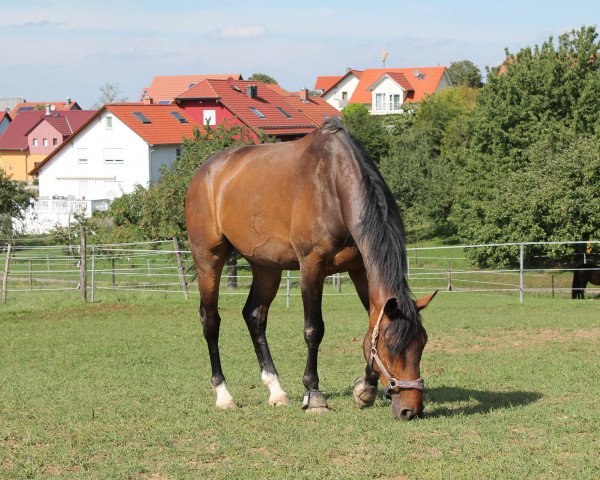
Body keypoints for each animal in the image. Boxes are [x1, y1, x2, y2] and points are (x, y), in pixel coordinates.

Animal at [185, 117, 434, 420]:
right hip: (208, 259)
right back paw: (224, 394)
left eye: (422, 344)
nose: (411, 410)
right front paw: (314, 394)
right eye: (389, 347)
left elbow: (371, 319)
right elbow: (314, 329)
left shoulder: (360, 268)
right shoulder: (311, 267)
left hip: (266, 266)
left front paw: (365, 389)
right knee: (210, 320)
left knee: (254, 316)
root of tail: (204, 172)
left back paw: (276, 391)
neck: (332, 184)